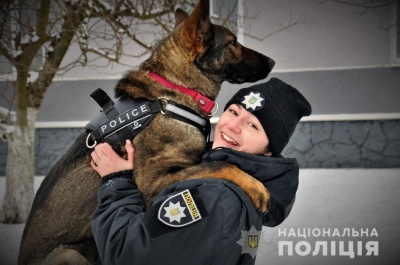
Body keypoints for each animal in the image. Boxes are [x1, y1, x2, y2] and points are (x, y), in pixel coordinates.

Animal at [18, 1, 276, 262]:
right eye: (233, 42)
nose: (273, 62)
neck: (173, 93)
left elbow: (214, 160)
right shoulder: (154, 182)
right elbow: (219, 164)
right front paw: (256, 187)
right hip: (69, 253)